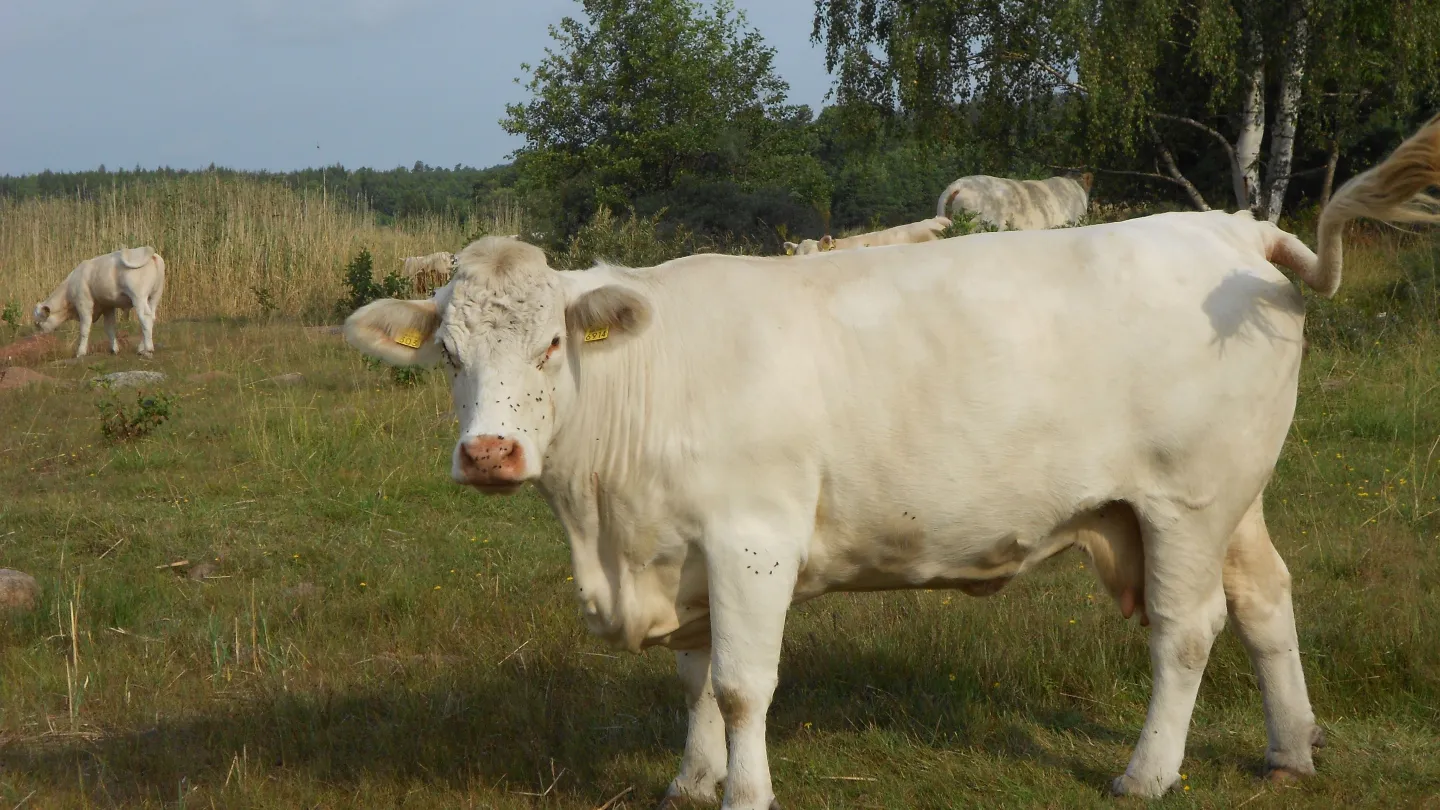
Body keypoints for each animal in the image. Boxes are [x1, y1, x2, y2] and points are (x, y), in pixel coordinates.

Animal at [34, 246, 165, 355]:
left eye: (38, 324)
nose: (38, 339)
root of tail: (151, 253)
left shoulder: (84, 303)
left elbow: (85, 328)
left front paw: (80, 352)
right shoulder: (108, 306)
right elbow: (109, 327)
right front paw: (114, 349)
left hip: (139, 297)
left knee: (145, 317)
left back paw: (148, 348)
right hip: (154, 297)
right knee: (151, 318)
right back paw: (141, 348)